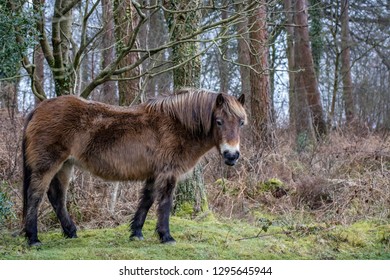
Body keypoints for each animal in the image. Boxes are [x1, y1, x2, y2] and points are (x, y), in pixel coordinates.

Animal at [22, 89, 247, 245]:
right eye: (218, 121)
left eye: (241, 123)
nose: (232, 155)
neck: (177, 125)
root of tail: (39, 108)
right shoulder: (168, 173)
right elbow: (165, 203)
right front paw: (166, 236)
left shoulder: (154, 174)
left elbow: (146, 200)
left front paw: (136, 233)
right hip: (47, 165)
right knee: (35, 196)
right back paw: (33, 239)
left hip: (65, 166)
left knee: (56, 197)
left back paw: (71, 232)